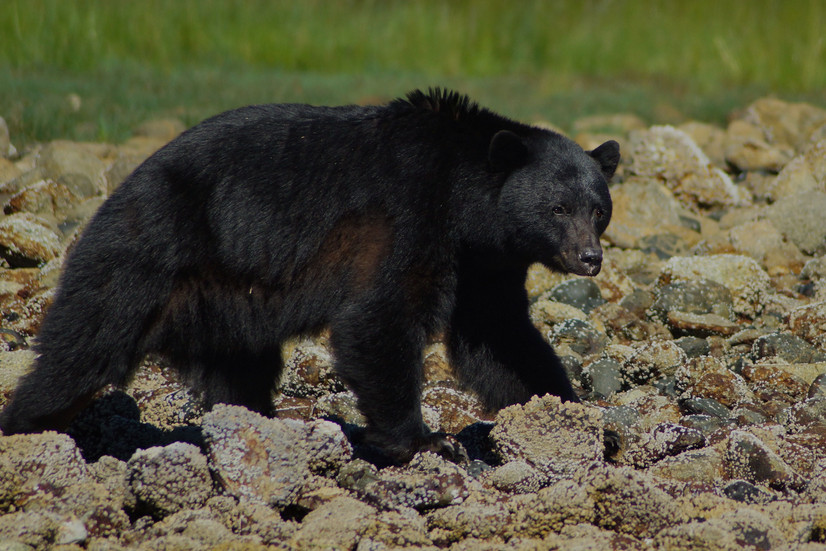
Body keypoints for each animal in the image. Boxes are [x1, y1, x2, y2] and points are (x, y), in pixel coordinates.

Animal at [0, 88, 619, 462]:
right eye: (557, 208)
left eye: (598, 209)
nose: (590, 258)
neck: (465, 201)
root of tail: (117, 193)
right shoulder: (408, 217)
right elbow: (378, 319)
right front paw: (424, 440)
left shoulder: (482, 264)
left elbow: (501, 338)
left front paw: (576, 416)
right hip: (144, 255)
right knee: (82, 347)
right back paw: (28, 426)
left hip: (224, 301)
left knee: (241, 371)